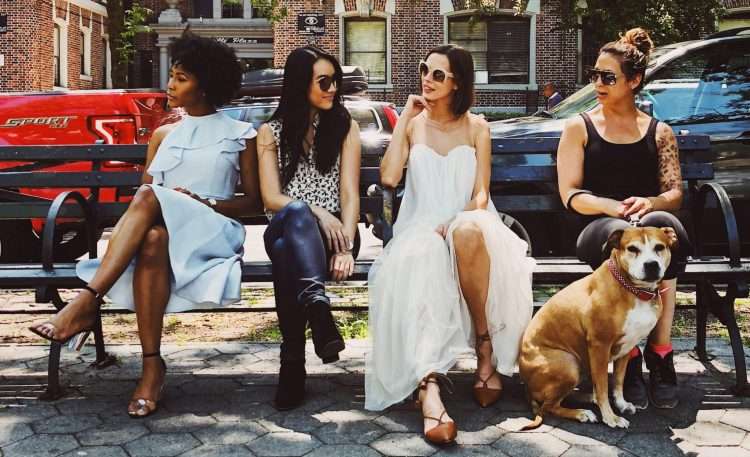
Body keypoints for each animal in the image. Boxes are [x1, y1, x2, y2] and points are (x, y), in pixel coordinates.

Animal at [520, 226, 680, 430]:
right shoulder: (599, 346)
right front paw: (610, 417)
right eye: (632, 249)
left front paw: (621, 404)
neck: (632, 290)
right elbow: (603, 385)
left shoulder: (627, 347)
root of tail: (527, 388)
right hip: (569, 364)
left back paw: (590, 398)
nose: (651, 264)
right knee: (549, 406)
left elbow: (618, 380)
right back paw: (582, 413)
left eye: (660, 247)